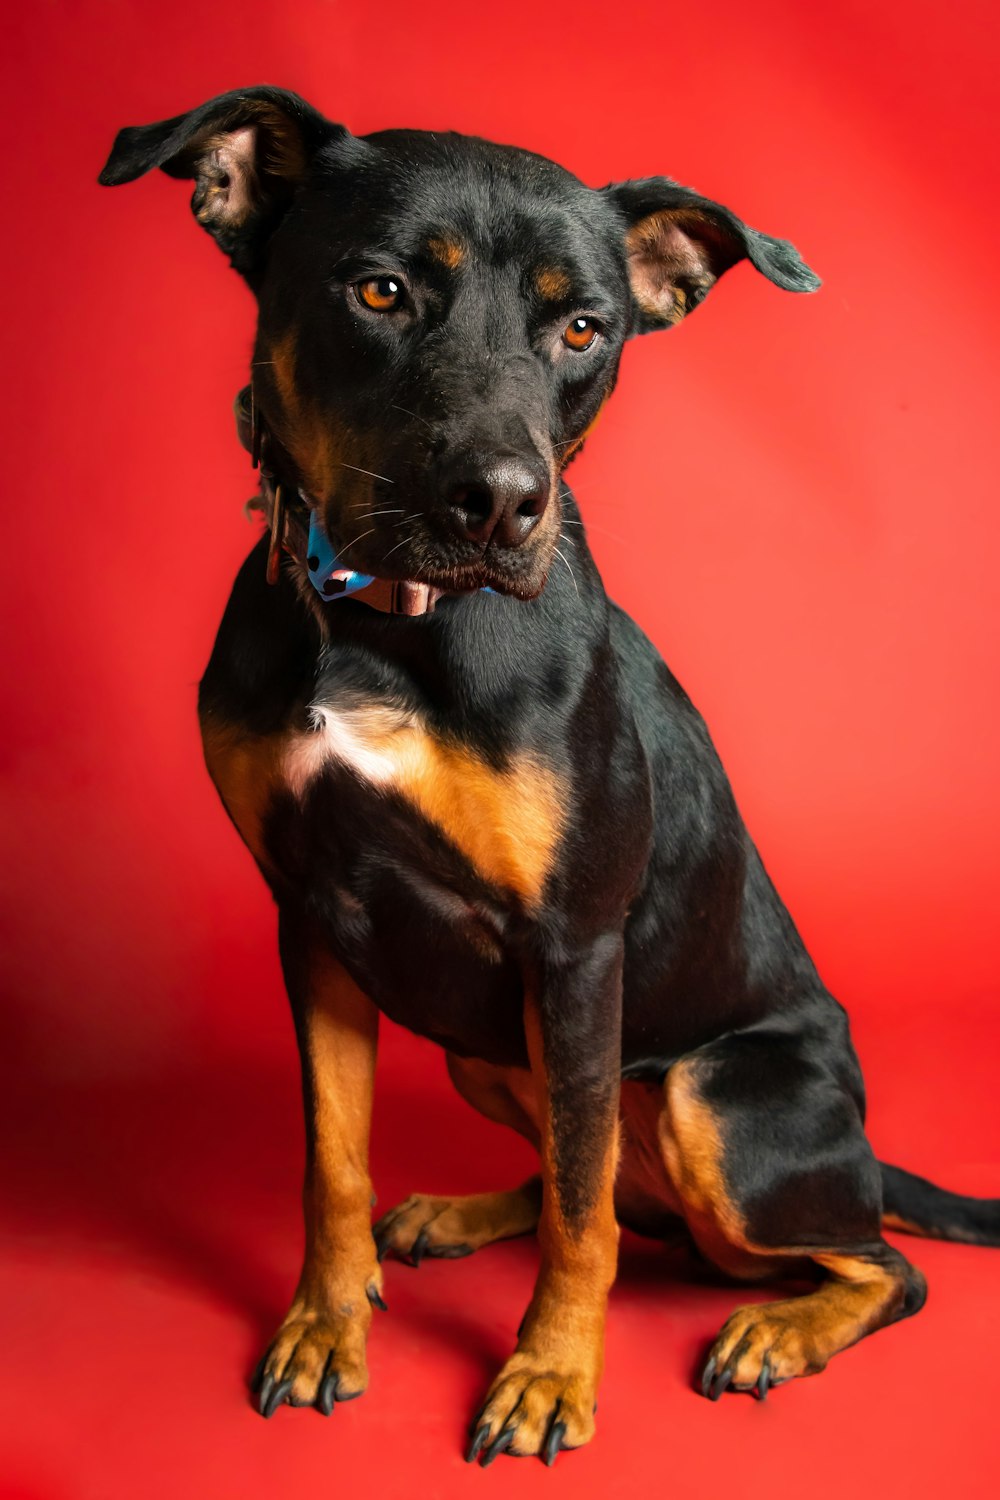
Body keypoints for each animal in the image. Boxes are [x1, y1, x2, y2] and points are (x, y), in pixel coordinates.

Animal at [97, 85, 995, 1464]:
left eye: (583, 328)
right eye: (380, 292)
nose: (502, 503)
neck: (382, 621)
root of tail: (858, 1154)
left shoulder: (573, 948)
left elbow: (583, 1220)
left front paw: (548, 1376)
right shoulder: (312, 920)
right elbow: (335, 1159)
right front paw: (324, 1322)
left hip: (713, 1095)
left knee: (866, 1262)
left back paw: (776, 1329)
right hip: (487, 1048)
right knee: (627, 1190)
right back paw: (459, 1217)